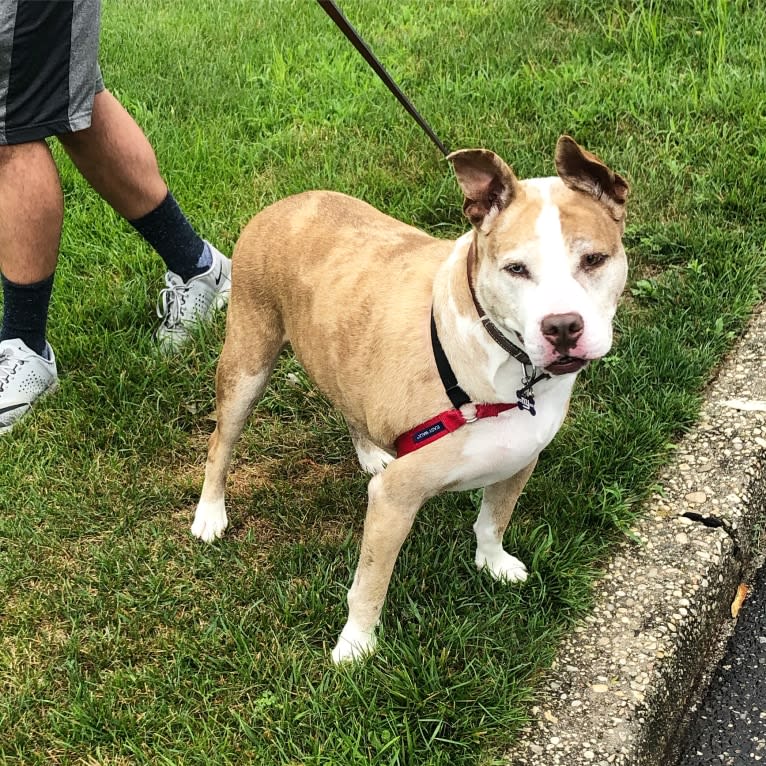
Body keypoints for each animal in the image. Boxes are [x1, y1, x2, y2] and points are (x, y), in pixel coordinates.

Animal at [192, 138, 632, 664]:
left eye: (593, 260)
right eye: (516, 269)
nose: (562, 327)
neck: (503, 369)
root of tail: (284, 203)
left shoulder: (521, 459)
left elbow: (493, 522)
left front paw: (492, 564)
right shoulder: (393, 500)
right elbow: (370, 584)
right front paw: (355, 646)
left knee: (348, 406)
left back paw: (368, 452)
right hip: (247, 363)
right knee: (220, 443)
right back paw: (209, 515)